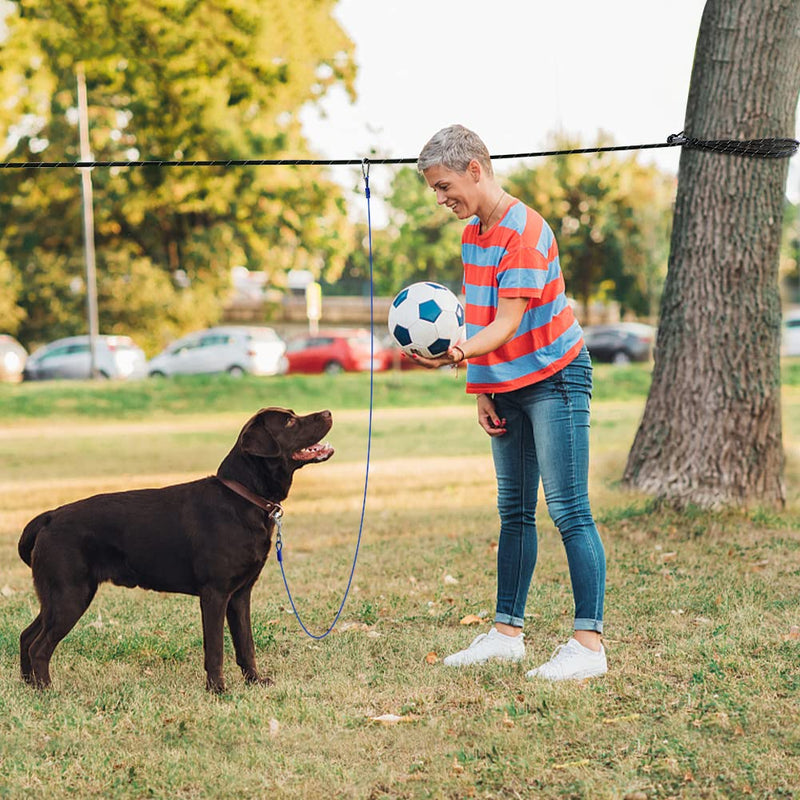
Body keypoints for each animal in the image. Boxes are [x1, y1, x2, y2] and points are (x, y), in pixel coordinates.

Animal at [17, 410, 332, 692]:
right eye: (289, 421)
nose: (328, 412)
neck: (241, 497)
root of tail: (50, 517)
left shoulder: (240, 595)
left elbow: (246, 645)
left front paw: (254, 681)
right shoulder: (215, 594)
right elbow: (215, 649)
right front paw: (218, 690)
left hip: (57, 597)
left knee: (26, 636)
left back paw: (28, 686)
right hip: (70, 596)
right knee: (39, 647)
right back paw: (46, 691)